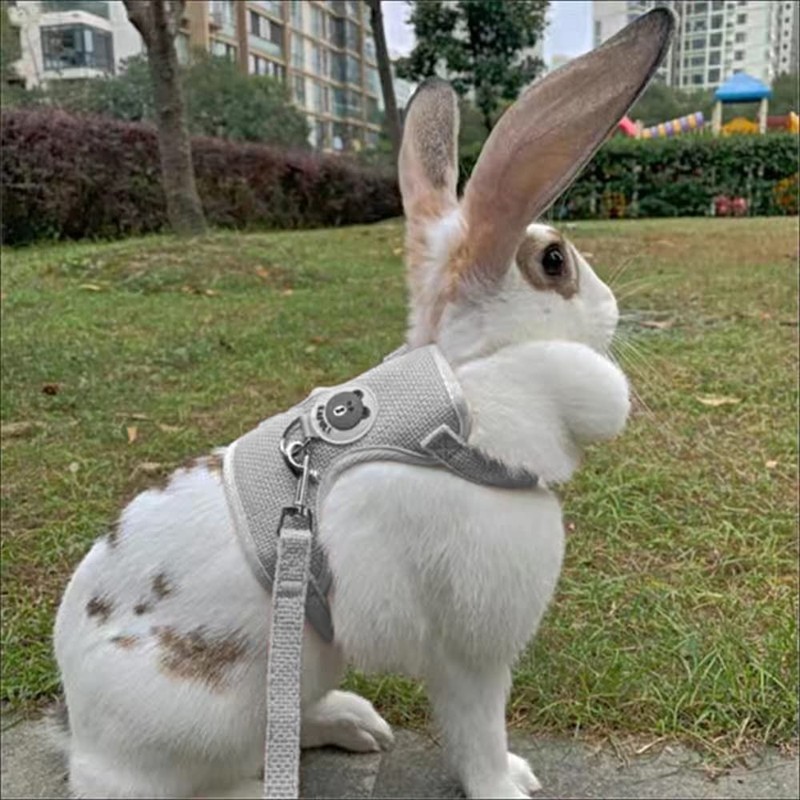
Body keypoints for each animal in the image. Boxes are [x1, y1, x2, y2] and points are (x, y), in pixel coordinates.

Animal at [52, 10, 674, 799]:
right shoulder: (470, 652)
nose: (613, 309)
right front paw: (507, 784)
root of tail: (82, 740)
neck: (463, 398)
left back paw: (357, 726)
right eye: (555, 261)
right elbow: (478, 732)